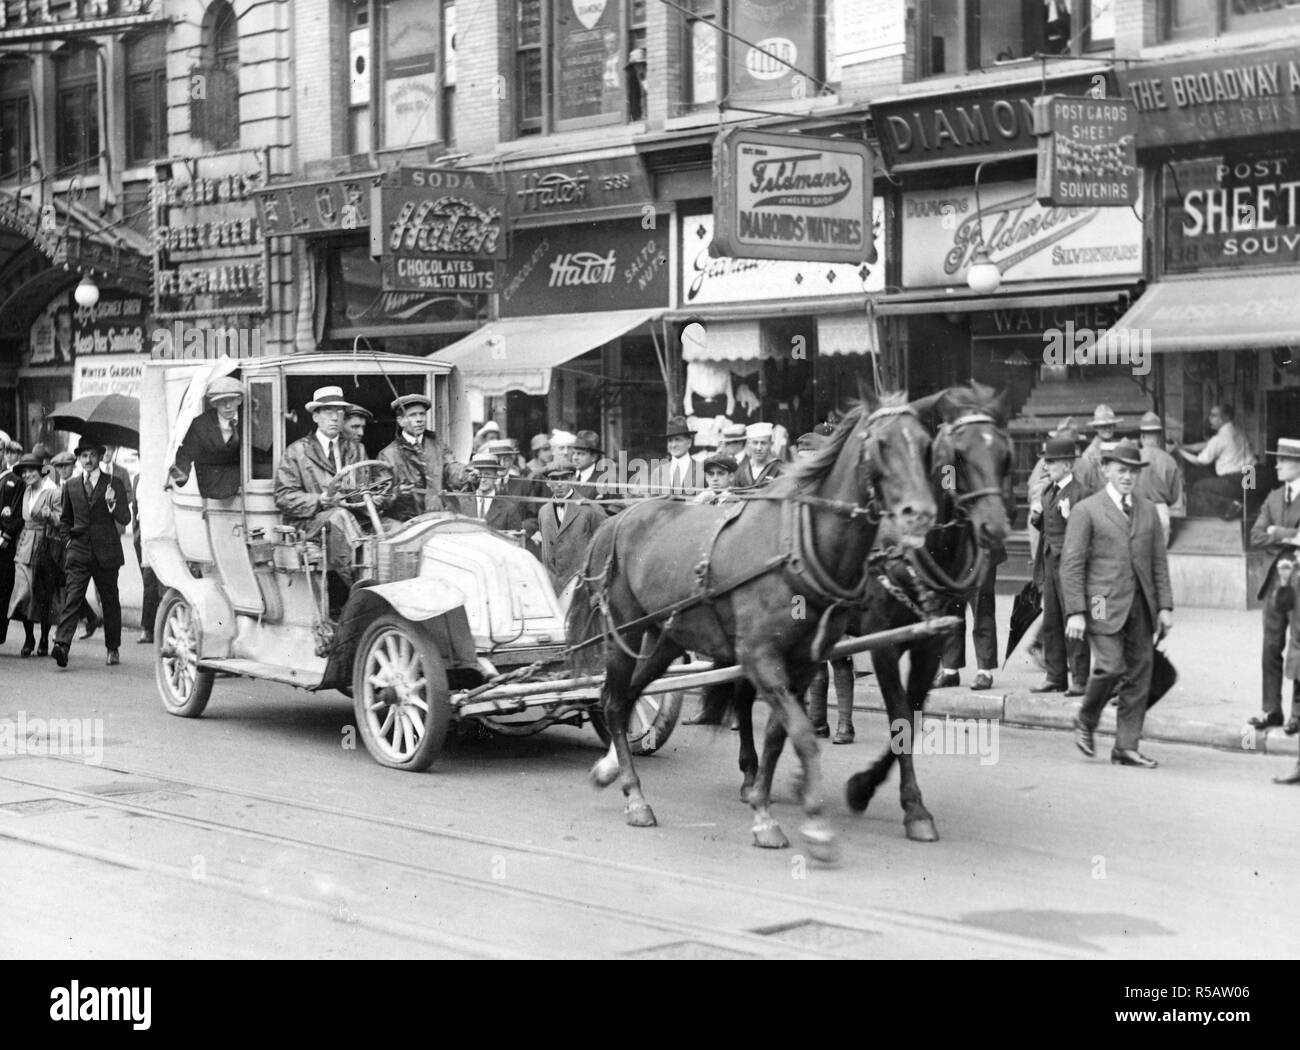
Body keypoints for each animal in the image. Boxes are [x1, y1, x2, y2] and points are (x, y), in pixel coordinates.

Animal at [569, 395, 935, 862]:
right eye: (883, 444)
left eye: (925, 444)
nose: (919, 515)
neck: (796, 549)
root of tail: (619, 518)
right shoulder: (760, 657)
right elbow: (801, 734)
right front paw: (805, 823)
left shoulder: (803, 662)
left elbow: (781, 734)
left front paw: (765, 804)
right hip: (624, 632)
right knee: (614, 701)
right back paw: (635, 797)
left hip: (667, 638)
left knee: (626, 696)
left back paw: (610, 768)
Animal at [842, 382, 1013, 842]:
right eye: (958, 455)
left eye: (1004, 454)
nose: (995, 529)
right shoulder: (882, 646)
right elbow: (900, 717)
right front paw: (908, 805)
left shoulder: (929, 647)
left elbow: (914, 717)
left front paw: (866, 787)